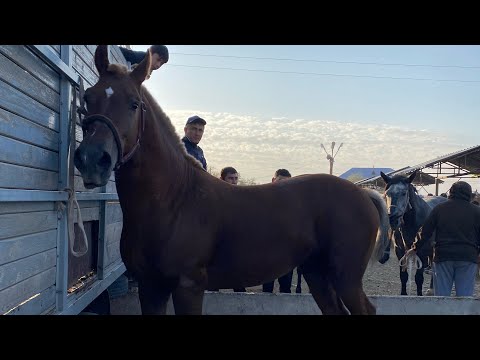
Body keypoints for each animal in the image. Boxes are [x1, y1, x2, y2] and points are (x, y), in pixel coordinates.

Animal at [74, 45, 390, 316]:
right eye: (87, 97)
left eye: (134, 103)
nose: (92, 159)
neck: (174, 201)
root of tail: (364, 194)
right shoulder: (150, 288)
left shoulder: (188, 286)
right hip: (316, 274)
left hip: (345, 278)